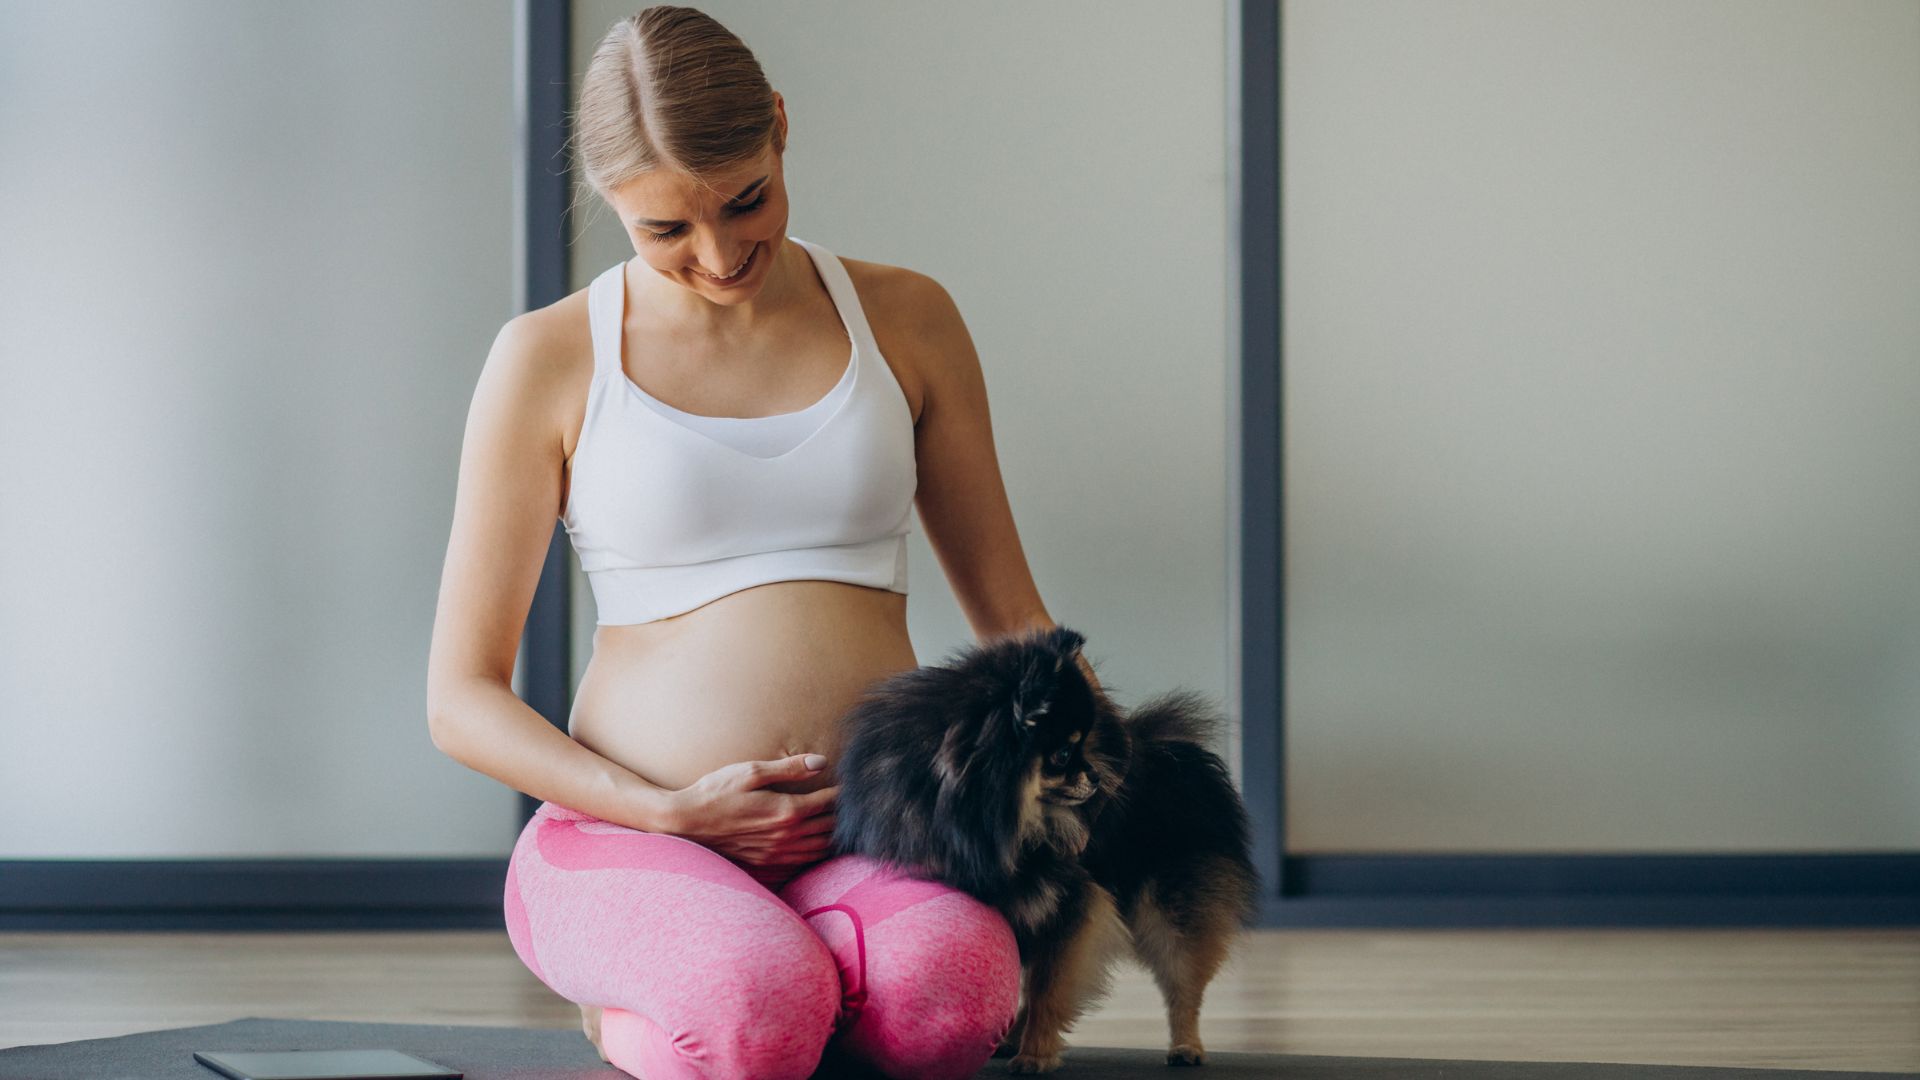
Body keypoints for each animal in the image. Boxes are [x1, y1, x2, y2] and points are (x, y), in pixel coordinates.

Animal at [833, 622, 1267, 1068]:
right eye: (1062, 752)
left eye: (1083, 744)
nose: (1099, 778)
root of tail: (1181, 755)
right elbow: (1033, 984)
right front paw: (1026, 1044)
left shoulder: (1071, 905)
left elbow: (1046, 989)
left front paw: (1036, 1055)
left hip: (1169, 909)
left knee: (1183, 985)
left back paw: (1186, 1046)